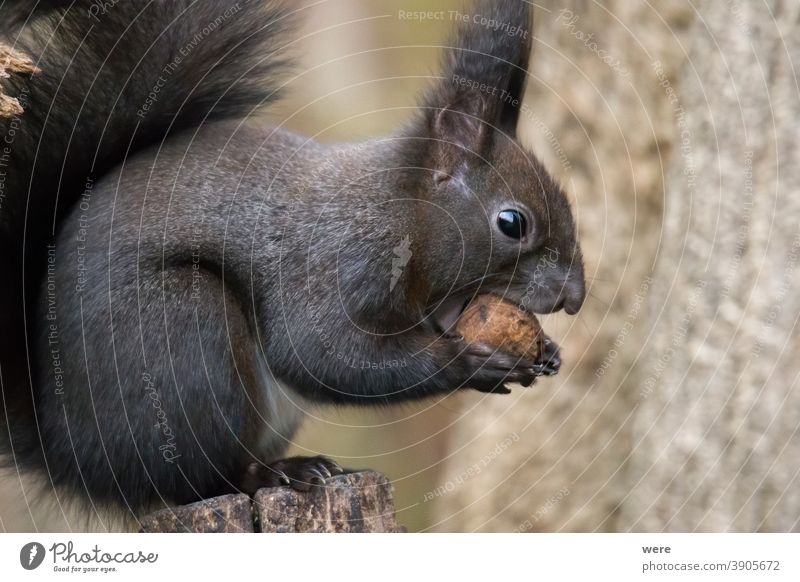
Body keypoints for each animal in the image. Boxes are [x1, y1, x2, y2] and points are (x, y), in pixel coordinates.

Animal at [1, 0, 588, 520]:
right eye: (512, 223)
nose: (576, 297)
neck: (402, 214)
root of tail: (69, 454)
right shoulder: (332, 261)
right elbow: (320, 351)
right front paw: (470, 361)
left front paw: (549, 354)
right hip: (180, 331)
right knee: (193, 480)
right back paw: (278, 474)